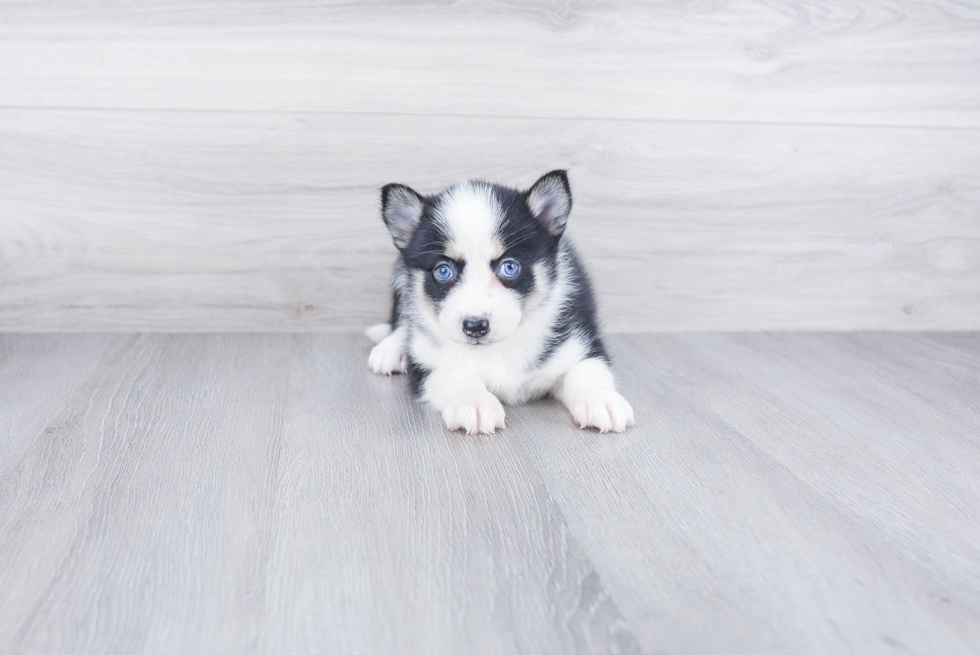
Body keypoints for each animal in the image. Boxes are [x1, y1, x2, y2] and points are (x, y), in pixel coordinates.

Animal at [368, 170, 636, 436]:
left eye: (510, 267)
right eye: (443, 271)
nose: (475, 326)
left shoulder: (583, 341)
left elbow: (586, 370)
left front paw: (601, 400)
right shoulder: (426, 365)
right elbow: (454, 374)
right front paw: (473, 402)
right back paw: (390, 349)